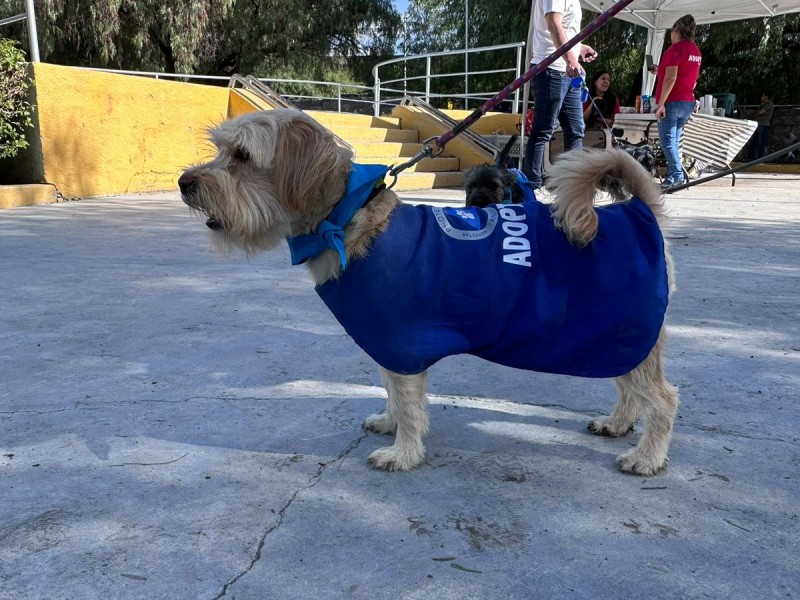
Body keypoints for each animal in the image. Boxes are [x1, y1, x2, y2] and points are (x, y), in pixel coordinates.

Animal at [181, 109, 680, 474]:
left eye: (243, 156)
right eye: (221, 149)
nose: (186, 182)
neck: (346, 221)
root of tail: (640, 211)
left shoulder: (402, 343)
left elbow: (408, 402)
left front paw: (404, 452)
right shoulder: (389, 342)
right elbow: (391, 391)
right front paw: (389, 423)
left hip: (625, 331)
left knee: (662, 399)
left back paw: (648, 456)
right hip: (615, 338)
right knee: (629, 387)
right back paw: (618, 424)